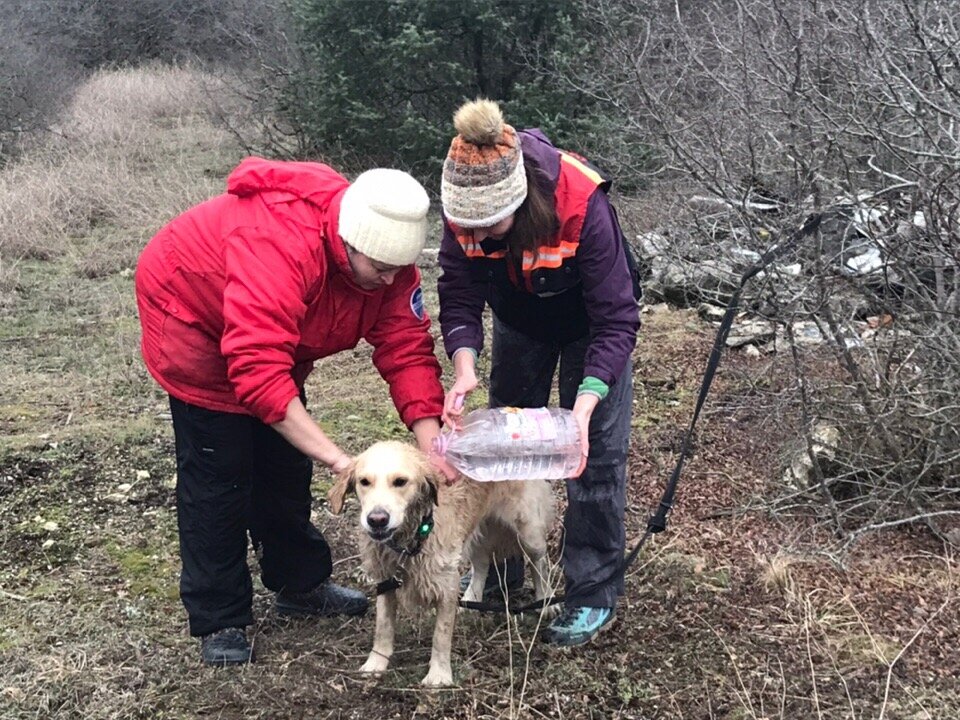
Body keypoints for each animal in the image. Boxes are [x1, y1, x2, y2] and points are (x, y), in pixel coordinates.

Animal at [328, 438, 556, 688]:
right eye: (364, 482)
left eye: (400, 481)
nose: (377, 520)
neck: (410, 538)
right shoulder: (386, 581)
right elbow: (383, 627)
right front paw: (376, 662)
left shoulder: (446, 583)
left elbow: (441, 635)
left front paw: (439, 674)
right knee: (482, 563)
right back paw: (472, 598)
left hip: (528, 530)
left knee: (540, 562)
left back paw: (546, 601)